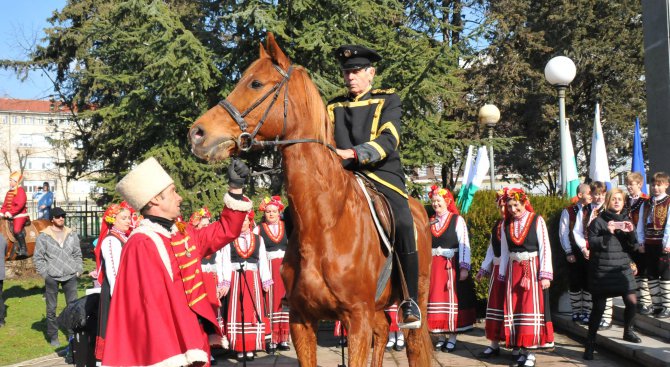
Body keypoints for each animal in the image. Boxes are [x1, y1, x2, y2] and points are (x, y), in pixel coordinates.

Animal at [189, 33, 434, 366]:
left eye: (255, 83)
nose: (197, 133)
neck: (326, 221)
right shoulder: (302, 320)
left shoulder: (357, 319)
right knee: (383, 330)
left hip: (414, 302)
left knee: (413, 345)